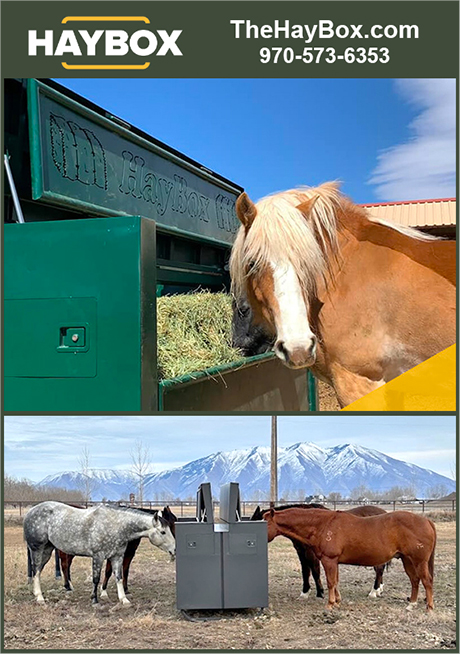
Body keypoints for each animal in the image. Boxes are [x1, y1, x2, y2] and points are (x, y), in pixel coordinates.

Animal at [24, 501, 176, 605]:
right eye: (163, 532)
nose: (174, 549)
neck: (116, 525)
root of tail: (30, 512)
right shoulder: (98, 556)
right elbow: (96, 578)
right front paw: (95, 599)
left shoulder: (117, 557)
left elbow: (118, 577)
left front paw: (124, 599)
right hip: (38, 549)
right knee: (37, 570)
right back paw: (40, 598)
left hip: (47, 550)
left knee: (39, 571)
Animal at [252, 503, 388, 599]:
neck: (311, 525)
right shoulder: (301, 553)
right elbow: (305, 572)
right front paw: (305, 592)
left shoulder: (311, 554)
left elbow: (315, 571)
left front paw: (320, 592)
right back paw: (379, 589)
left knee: (379, 569)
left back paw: (373, 592)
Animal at [263, 507, 436, 610]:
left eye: (264, 522)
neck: (323, 525)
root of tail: (426, 521)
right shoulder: (334, 562)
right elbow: (336, 582)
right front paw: (337, 601)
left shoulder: (329, 560)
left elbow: (331, 582)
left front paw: (330, 604)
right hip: (407, 560)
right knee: (415, 580)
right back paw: (411, 604)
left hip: (419, 561)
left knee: (426, 581)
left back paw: (429, 607)